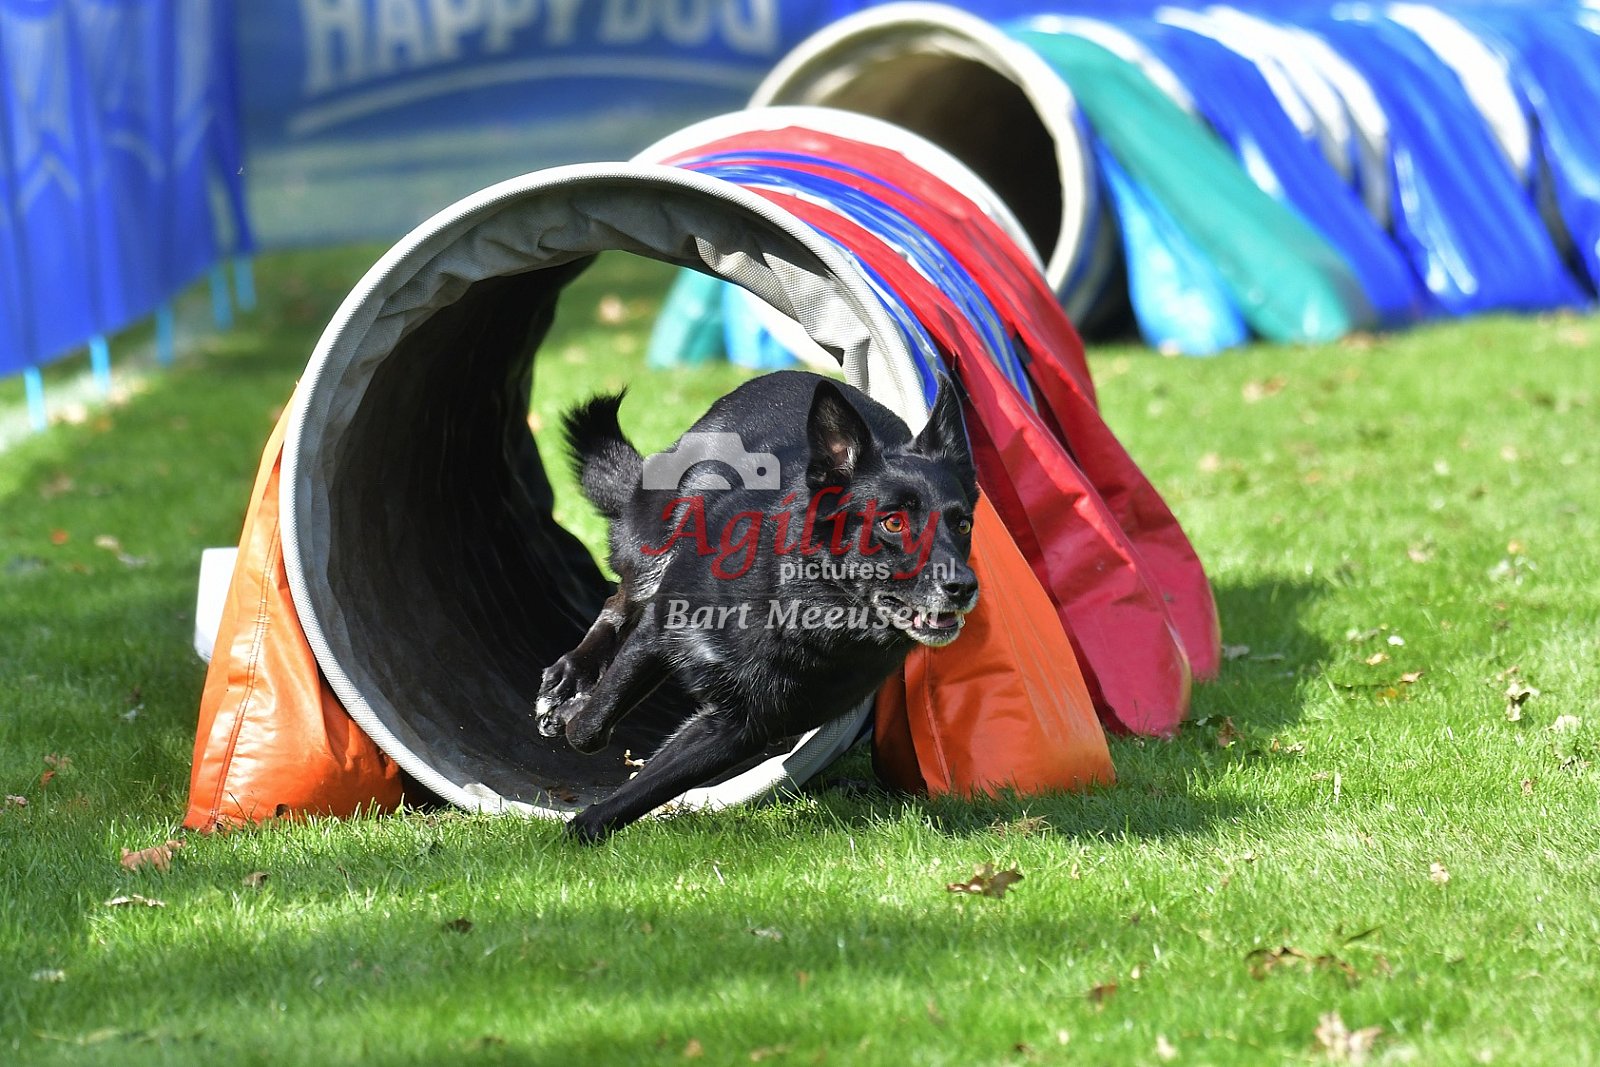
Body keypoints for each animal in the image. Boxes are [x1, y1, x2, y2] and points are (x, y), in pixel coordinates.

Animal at [537, 370, 979, 842]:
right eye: (893, 522)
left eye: (962, 524)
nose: (964, 587)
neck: (801, 607)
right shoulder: (658, 632)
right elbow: (590, 727)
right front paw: (572, 710)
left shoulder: (739, 728)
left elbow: (647, 788)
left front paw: (582, 830)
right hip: (653, 545)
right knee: (618, 601)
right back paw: (569, 676)